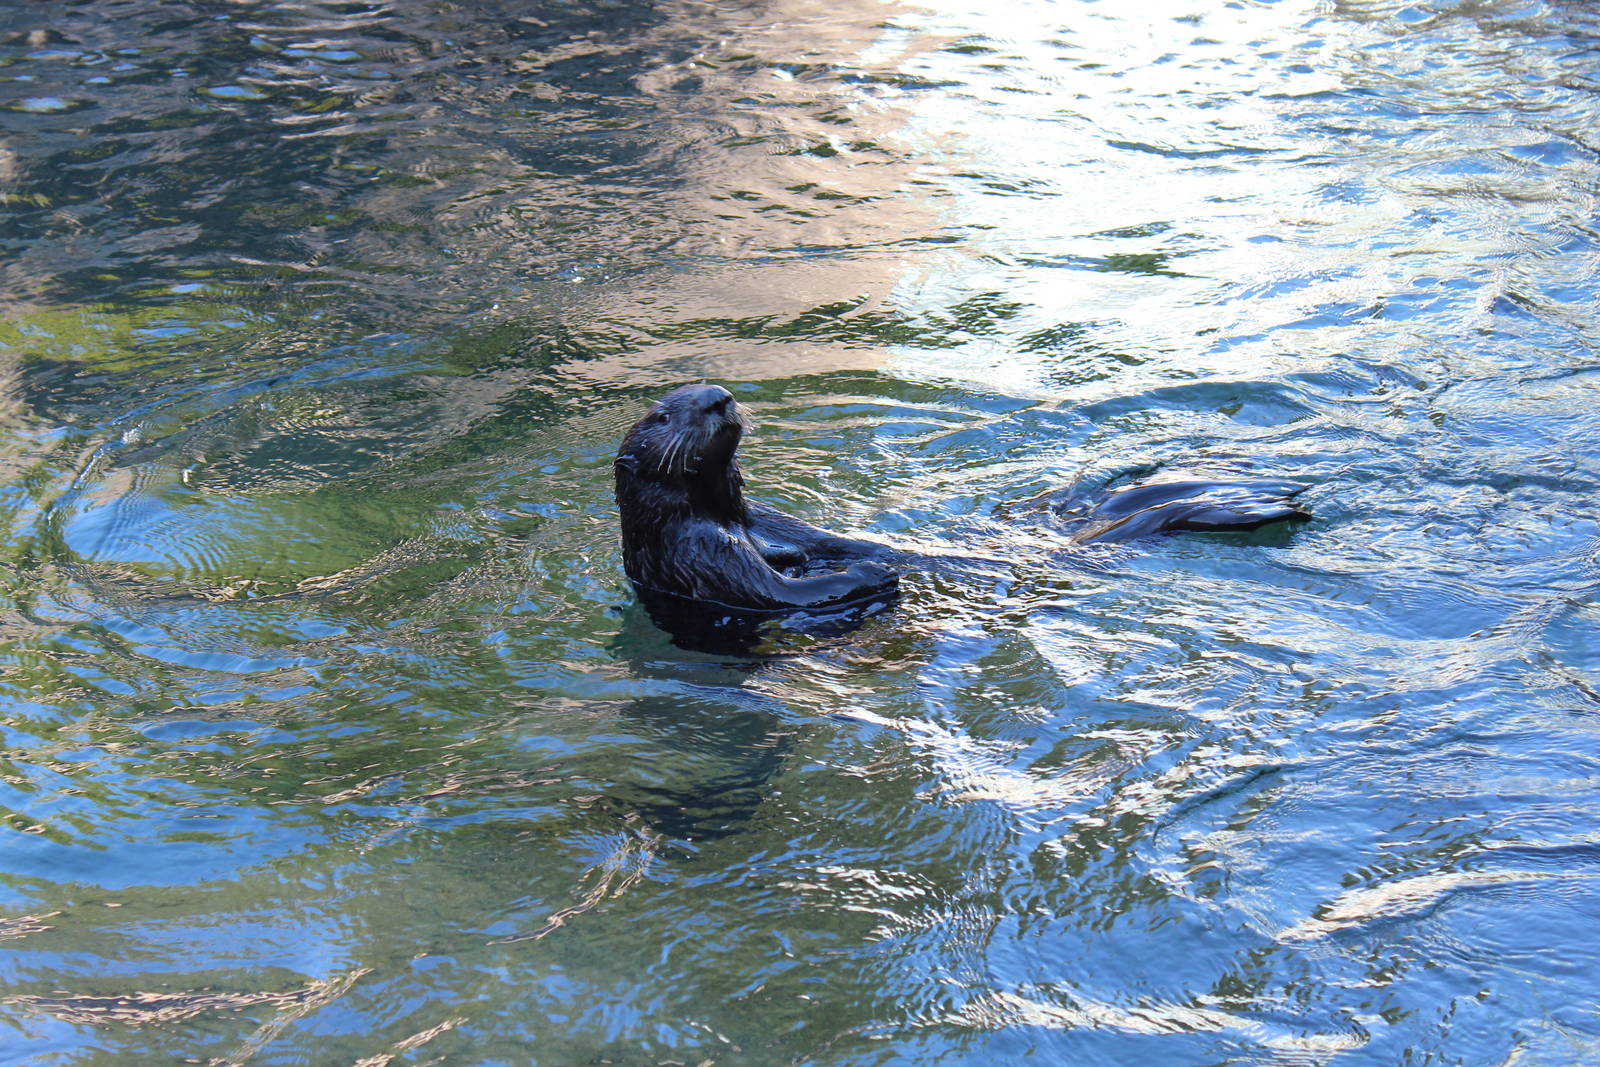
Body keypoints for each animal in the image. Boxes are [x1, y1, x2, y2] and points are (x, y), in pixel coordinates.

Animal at [613, 383, 1309, 615]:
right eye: (661, 414)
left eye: (714, 392)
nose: (720, 398)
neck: (723, 516)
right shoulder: (699, 552)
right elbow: (779, 593)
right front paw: (877, 569)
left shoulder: (758, 517)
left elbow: (806, 548)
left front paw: (854, 555)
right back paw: (1277, 501)